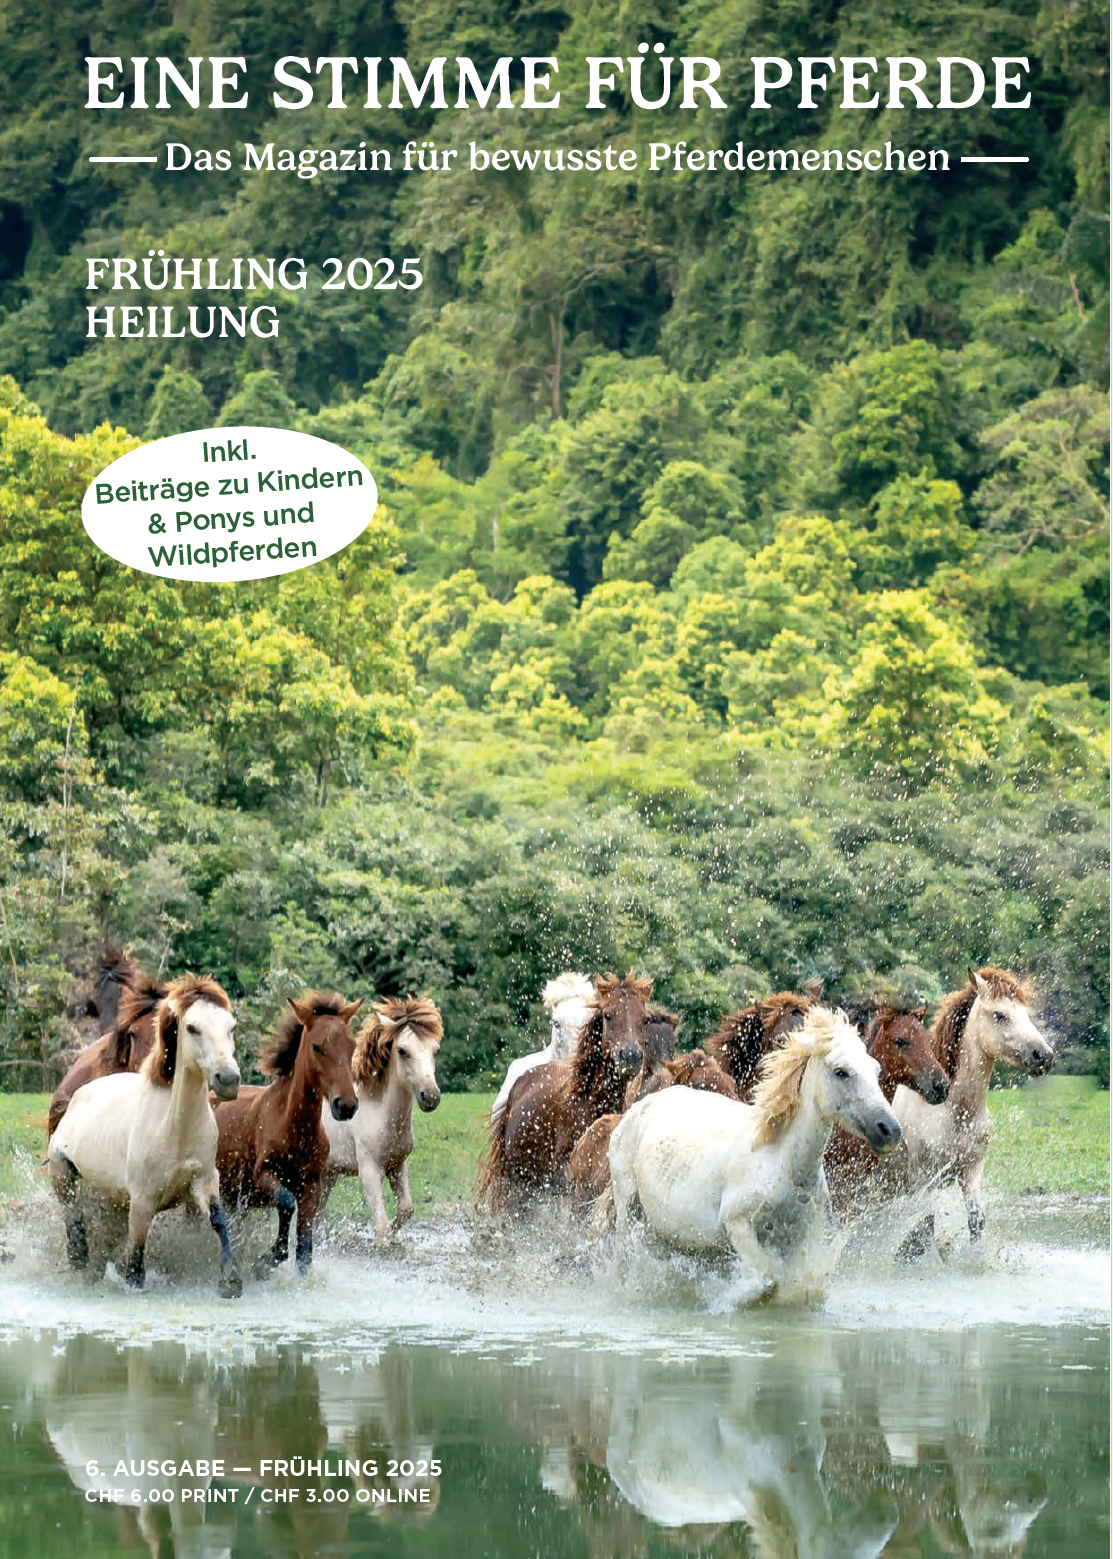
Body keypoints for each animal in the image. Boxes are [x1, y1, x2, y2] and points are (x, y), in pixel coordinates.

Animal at [214, 992, 361, 1277]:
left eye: (352, 1046)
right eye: (317, 1047)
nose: (346, 1104)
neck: (294, 1130)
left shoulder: (312, 1185)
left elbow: (304, 1248)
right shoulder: (263, 1176)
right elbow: (285, 1203)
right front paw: (268, 1259)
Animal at [323, 995, 444, 1242]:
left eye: (435, 1050)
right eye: (403, 1051)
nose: (430, 1096)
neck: (379, 1114)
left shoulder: (397, 1165)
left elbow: (406, 1209)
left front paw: (396, 1239)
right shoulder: (369, 1171)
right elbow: (381, 1226)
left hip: (326, 1176)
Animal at [607, 1007, 901, 1302]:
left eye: (876, 1070)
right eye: (841, 1072)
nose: (890, 1130)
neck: (783, 1160)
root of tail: (639, 1107)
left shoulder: (799, 1238)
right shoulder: (738, 1226)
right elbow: (771, 1277)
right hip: (627, 1211)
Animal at [880, 967, 1054, 1255]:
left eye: (1026, 1014)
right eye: (999, 1015)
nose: (1044, 1056)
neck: (953, 1111)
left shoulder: (971, 1171)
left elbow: (975, 1220)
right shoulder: (925, 1180)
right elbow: (923, 1230)